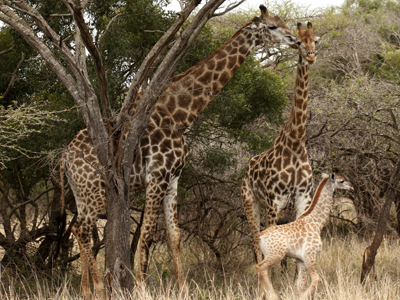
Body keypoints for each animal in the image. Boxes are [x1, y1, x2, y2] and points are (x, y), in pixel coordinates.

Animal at [58, 5, 296, 298]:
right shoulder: (156, 176)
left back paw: (86, 291)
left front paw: (182, 290)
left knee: (77, 228)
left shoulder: (172, 179)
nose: (294, 39)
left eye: (283, 22)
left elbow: (174, 237)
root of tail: (65, 158)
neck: (179, 115)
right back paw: (101, 289)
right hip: (94, 189)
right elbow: (147, 234)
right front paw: (142, 291)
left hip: (81, 192)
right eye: (272, 26)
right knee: (82, 228)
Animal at [241, 22, 318, 264]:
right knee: (256, 241)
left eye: (316, 40)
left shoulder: (302, 199)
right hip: (251, 202)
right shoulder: (273, 201)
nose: (311, 56)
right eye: (299, 42)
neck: (295, 143)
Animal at [255, 169, 352, 300]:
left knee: (263, 271)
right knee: (260, 268)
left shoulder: (300, 259)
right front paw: (304, 297)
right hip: (276, 254)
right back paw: (273, 296)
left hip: (268, 254)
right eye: (341, 180)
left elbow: (300, 284)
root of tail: (261, 236)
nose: (351, 186)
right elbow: (317, 279)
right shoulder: (309, 254)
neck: (317, 222)